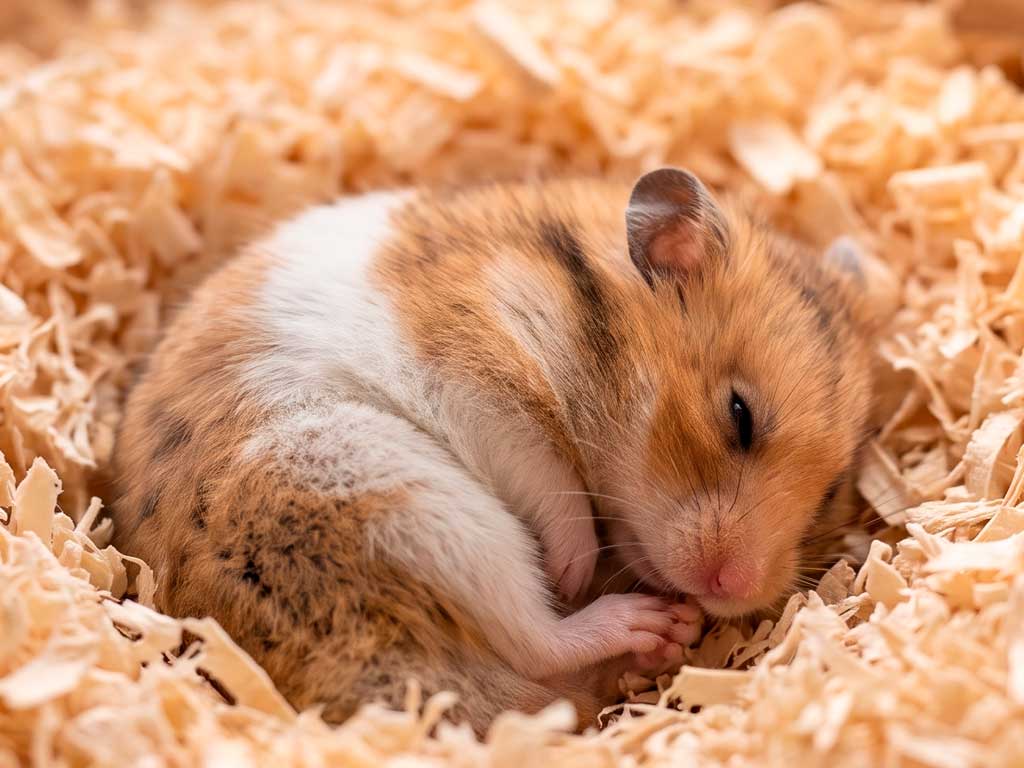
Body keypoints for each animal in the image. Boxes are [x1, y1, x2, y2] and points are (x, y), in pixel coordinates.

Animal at [111, 168, 876, 732]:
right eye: (739, 416)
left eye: (833, 490)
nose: (732, 589)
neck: (579, 314)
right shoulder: (474, 374)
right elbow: (544, 473)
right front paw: (574, 566)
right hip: (400, 499)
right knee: (533, 641)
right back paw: (648, 622)